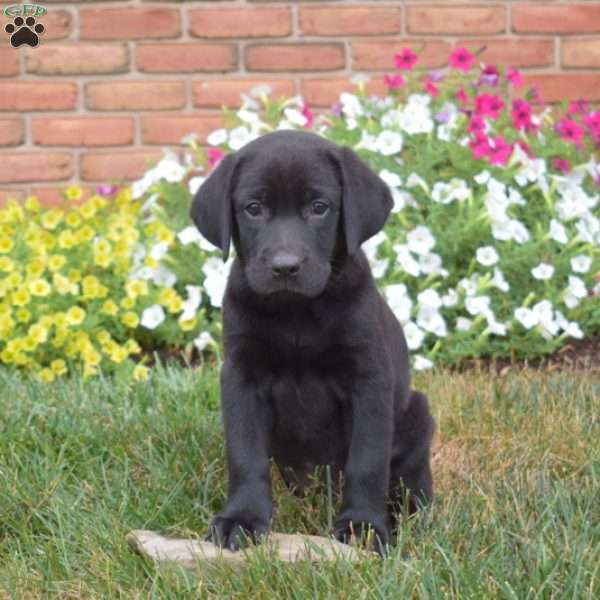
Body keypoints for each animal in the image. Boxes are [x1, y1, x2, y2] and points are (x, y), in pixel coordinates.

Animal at [190, 131, 434, 552]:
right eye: (253, 208)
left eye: (319, 208)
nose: (285, 267)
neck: (297, 314)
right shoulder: (241, 376)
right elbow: (245, 454)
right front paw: (242, 519)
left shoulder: (368, 379)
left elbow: (368, 460)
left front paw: (363, 526)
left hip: (418, 413)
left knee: (410, 484)